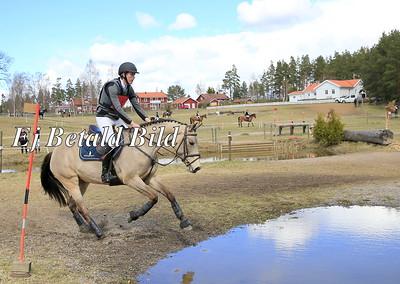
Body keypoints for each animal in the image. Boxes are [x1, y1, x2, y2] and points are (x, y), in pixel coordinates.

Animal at [40, 118, 202, 239]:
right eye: (191, 143)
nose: (197, 168)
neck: (144, 144)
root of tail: (54, 152)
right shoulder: (131, 180)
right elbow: (154, 197)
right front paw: (133, 215)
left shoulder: (149, 178)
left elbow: (169, 194)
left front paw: (184, 221)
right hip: (70, 181)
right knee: (81, 206)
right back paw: (98, 231)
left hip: (82, 182)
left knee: (72, 205)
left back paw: (85, 228)